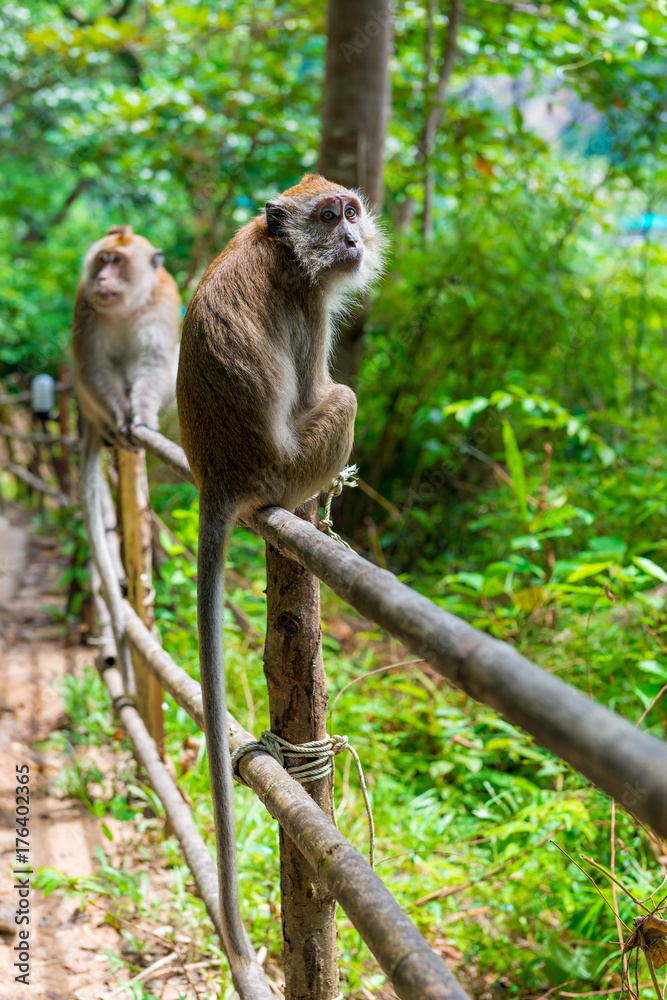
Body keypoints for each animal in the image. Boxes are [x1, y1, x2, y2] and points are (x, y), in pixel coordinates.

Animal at [176, 174, 385, 996]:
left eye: (350, 211)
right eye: (330, 217)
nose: (353, 237)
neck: (281, 253)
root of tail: (220, 476)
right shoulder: (307, 309)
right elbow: (319, 392)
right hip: (287, 467)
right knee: (343, 400)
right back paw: (314, 506)